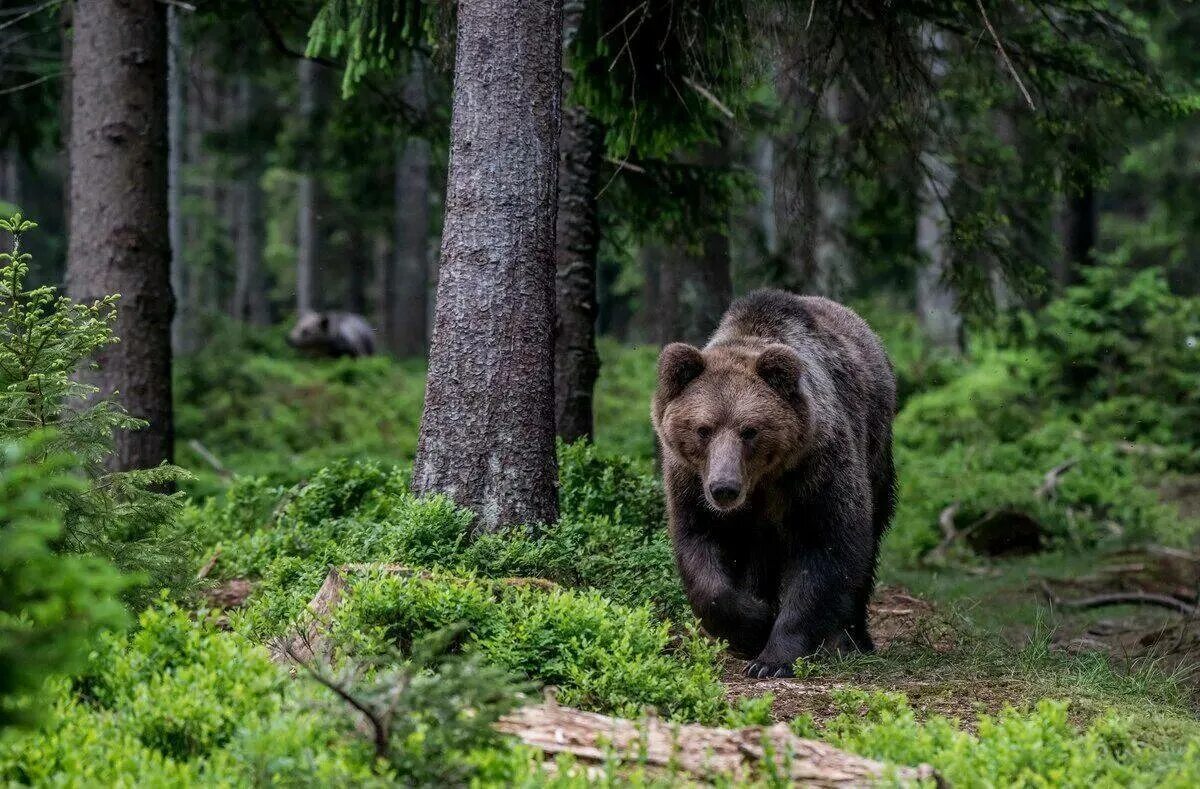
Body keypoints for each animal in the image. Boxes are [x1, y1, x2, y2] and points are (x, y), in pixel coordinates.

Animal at [652, 288, 897, 676]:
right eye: (703, 429)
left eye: (749, 430)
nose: (724, 488)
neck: (762, 484)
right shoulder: (690, 483)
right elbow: (700, 553)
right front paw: (754, 624)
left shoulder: (816, 473)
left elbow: (828, 548)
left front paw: (772, 658)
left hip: (876, 451)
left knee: (870, 540)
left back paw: (852, 639)